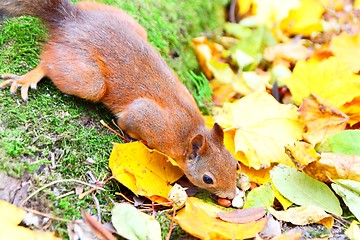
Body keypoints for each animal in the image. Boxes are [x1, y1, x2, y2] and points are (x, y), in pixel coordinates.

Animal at [0, 0, 239, 199]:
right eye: (207, 179)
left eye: (235, 164)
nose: (230, 195)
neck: (189, 131)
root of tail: (72, 21)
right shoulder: (150, 120)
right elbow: (127, 122)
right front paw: (134, 135)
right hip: (89, 81)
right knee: (49, 62)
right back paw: (31, 76)